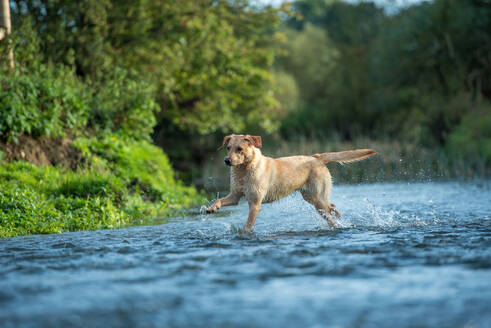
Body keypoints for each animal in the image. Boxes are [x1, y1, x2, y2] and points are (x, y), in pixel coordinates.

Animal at [206, 134, 378, 233]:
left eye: (239, 149)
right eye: (228, 148)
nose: (226, 160)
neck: (244, 170)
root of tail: (317, 157)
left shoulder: (254, 203)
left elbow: (248, 225)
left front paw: (243, 232)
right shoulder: (235, 196)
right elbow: (220, 200)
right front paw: (211, 208)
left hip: (318, 199)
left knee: (330, 211)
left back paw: (338, 223)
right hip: (311, 197)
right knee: (332, 206)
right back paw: (340, 218)